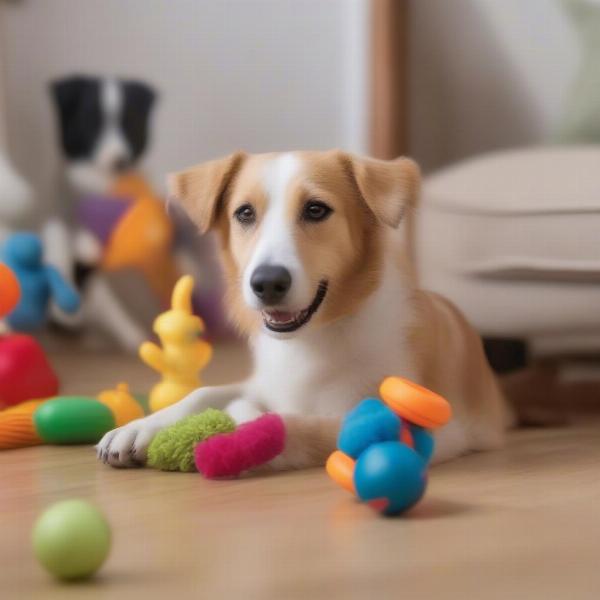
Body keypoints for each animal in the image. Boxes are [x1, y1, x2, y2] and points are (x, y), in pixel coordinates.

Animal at [96, 150, 508, 468]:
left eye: (316, 210)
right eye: (244, 213)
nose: (267, 283)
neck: (312, 340)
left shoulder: (419, 429)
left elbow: (296, 428)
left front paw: (227, 431)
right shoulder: (264, 381)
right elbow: (202, 392)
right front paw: (140, 428)